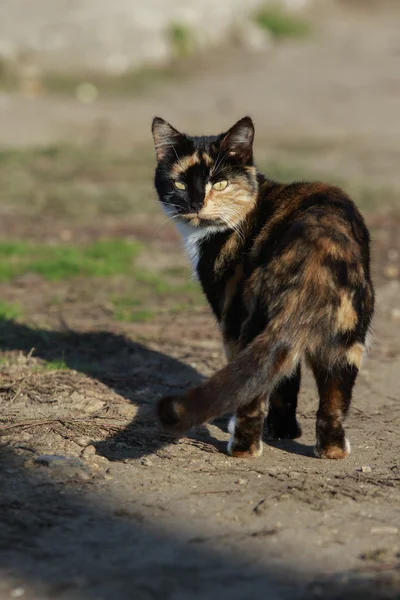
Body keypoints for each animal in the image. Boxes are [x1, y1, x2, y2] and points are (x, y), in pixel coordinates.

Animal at [152, 115, 374, 458]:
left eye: (220, 183)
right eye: (179, 184)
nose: (195, 203)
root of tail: (317, 252)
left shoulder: (229, 316)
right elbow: (286, 378)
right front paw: (285, 432)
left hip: (251, 321)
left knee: (251, 398)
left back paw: (241, 448)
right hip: (348, 339)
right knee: (332, 403)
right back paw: (332, 451)